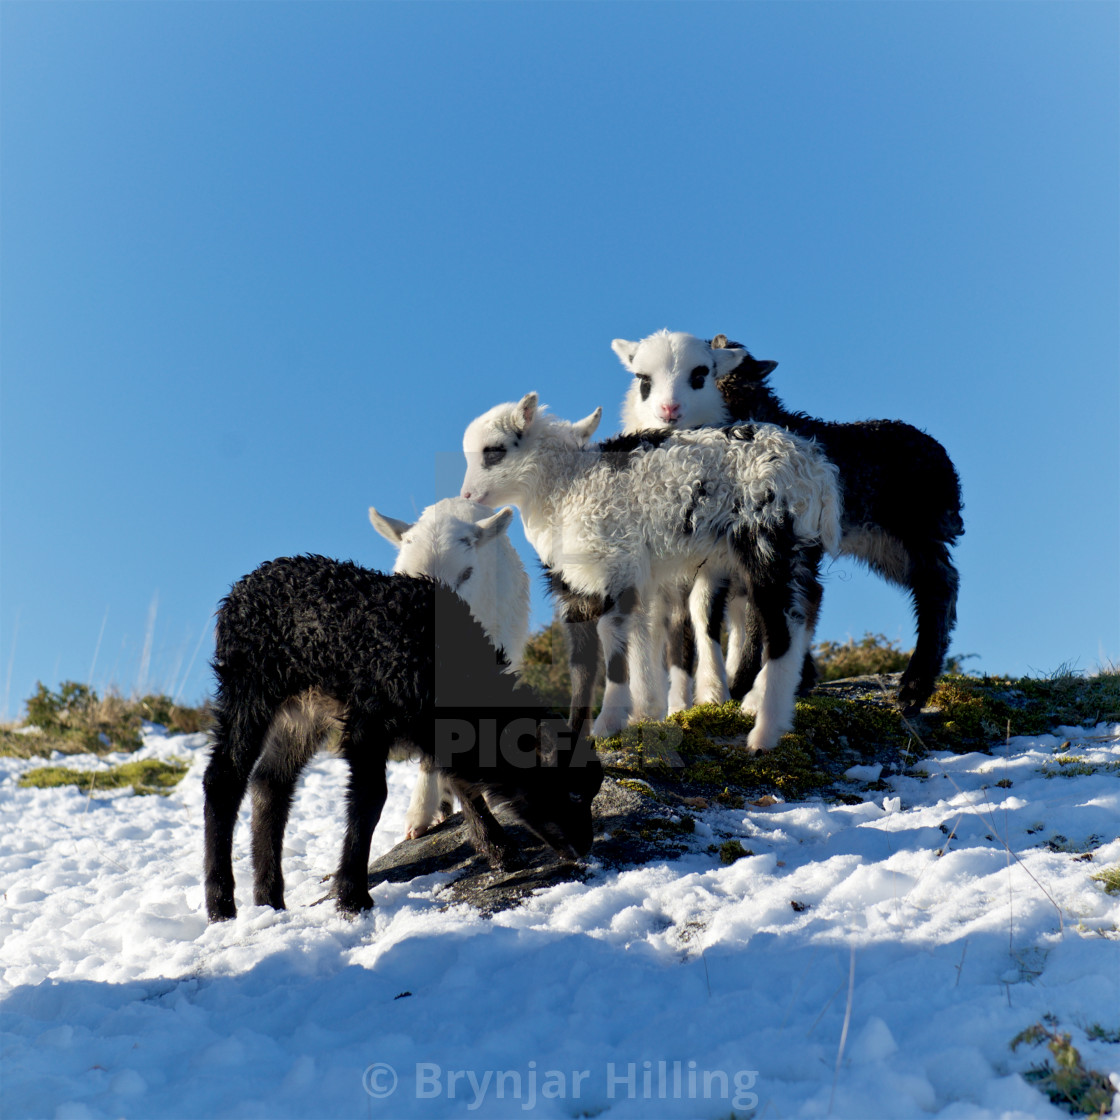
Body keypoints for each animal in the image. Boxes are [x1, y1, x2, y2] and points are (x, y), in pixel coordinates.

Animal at [201, 555, 604, 922]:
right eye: (571, 793)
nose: (585, 847)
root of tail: (244, 586)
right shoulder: (369, 720)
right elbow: (370, 799)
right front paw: (352, 896)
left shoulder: (434, 728)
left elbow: (463, 783)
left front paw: (499, 850)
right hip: (250, 688)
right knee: (224, 778)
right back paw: (221, 905)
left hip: (304, 712)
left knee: (270, 783)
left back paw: (269, 899)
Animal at [456, 394, 842, 752]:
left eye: (494, 450)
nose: (468, 495)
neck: (566, 485)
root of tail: (817, 470)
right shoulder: (598, 580)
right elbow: (600, 654)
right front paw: (626, 717)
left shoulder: (615, 563)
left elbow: (612, 640)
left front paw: (609, 722)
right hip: (798, 547)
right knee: (805, 607)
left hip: (766, 538)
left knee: (781, 627)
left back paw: (764, 733)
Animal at [613, 327, 963, 712]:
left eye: (702, 372)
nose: (668, 410)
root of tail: (944, 462)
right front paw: (792, 678)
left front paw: (748, 685)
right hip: (884, 544)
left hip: (911, 532)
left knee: (939, 587)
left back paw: (914, 687)